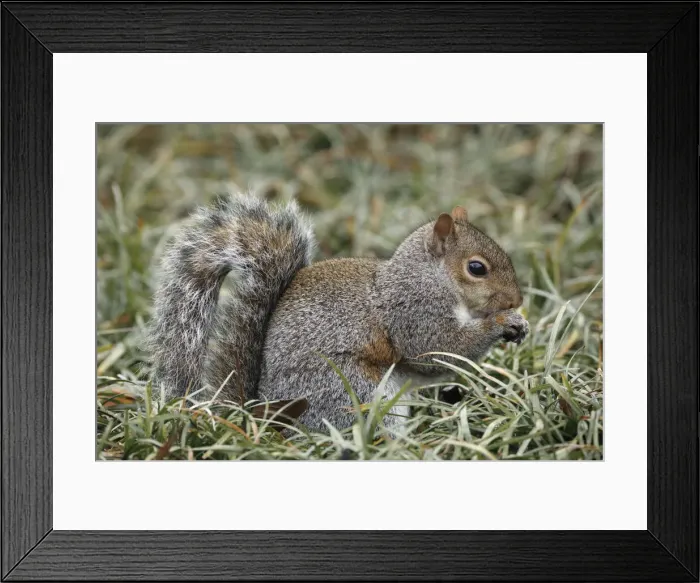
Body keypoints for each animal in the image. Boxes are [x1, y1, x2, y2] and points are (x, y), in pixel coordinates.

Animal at [147, 193, 528, 431]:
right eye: (476, 268)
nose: (515, 301)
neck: (430, 278)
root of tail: (264, 417)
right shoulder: (414, 311)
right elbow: (436, 352)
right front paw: (500, 323)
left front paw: (519, 324)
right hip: (352, 390)